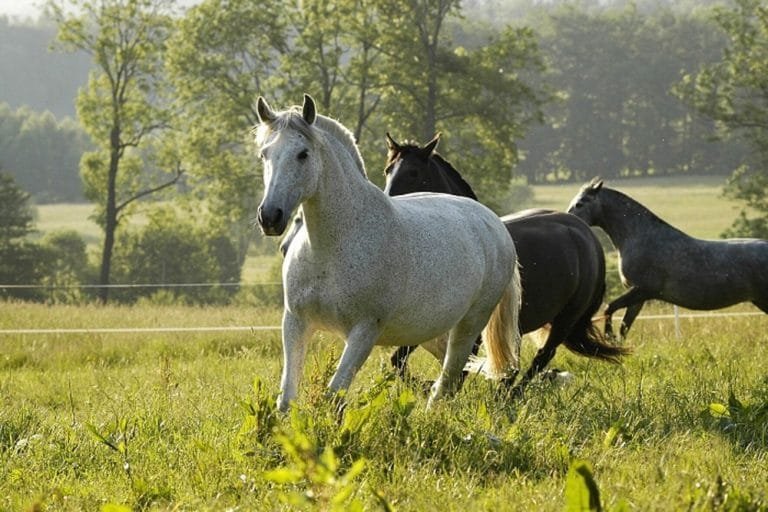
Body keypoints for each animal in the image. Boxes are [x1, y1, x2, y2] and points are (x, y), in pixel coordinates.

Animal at [255, 95, 522, 412]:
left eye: (303, 154)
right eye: (264, 154)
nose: (270, 217)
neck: (330, 248)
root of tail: (495, 224)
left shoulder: (364, 331)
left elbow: (334, 396)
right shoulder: (295, 322)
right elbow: (287, 399)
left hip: (469, 327)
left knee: (448, 382)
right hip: (431, 331)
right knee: (451, 379)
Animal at [383, 133, 629, 392]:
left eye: (413, 172)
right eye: (388, 170)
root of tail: (586, 234)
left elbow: (456, 371)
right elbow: (398, 361)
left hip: (566, 319)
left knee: (542, 356)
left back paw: (514, 393)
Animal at [567, 179, 768, 338]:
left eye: (580, 203)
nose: (568, 220)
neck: (639, 237)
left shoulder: (643, 289)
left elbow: (609, 308)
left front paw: (608, 336)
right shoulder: (638, 297)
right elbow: (624, 327)